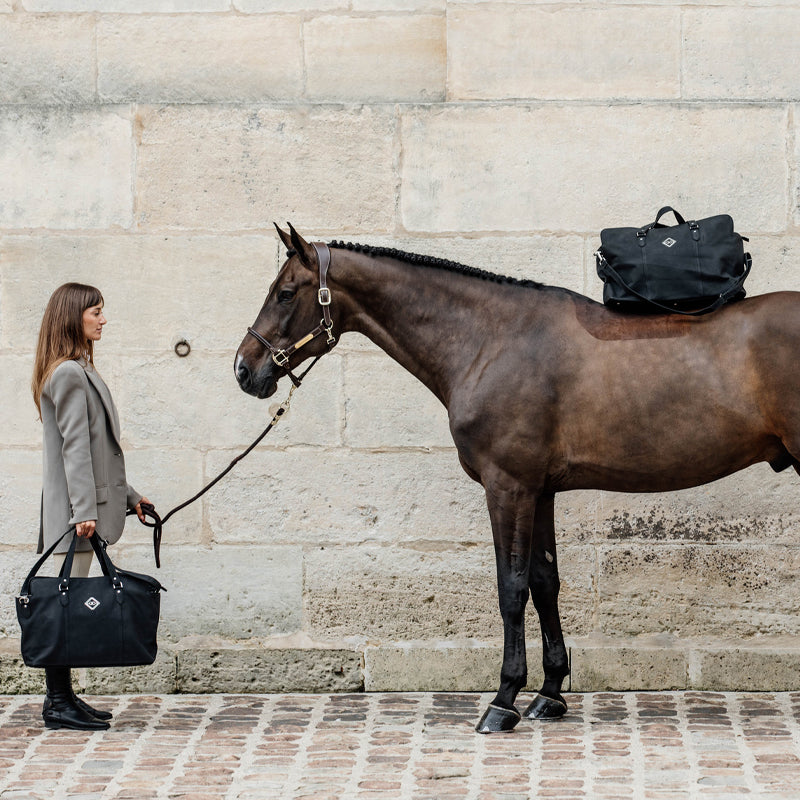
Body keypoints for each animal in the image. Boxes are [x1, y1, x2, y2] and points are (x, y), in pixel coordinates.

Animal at [234, 223, 800, 732]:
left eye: (286, 293)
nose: (244, 368)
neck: (489, 340)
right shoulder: (540, 489)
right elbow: (545, 583)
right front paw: (549, 694)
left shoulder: (508, 486)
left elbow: (511, 587)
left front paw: (503, 700)